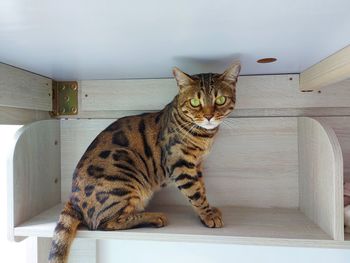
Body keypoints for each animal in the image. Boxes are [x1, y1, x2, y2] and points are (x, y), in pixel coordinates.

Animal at [48, 61, 241, 262]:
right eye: (195, 102)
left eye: (221, 100)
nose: (209, 116)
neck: (204, 136)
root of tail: (72, 199)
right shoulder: (180, 163)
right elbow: (195, 192)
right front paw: (207, 215)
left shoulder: (197, 164)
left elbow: (202, 188)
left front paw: (208, 211)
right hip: (124, 173)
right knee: (103, 223)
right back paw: (154, 217)